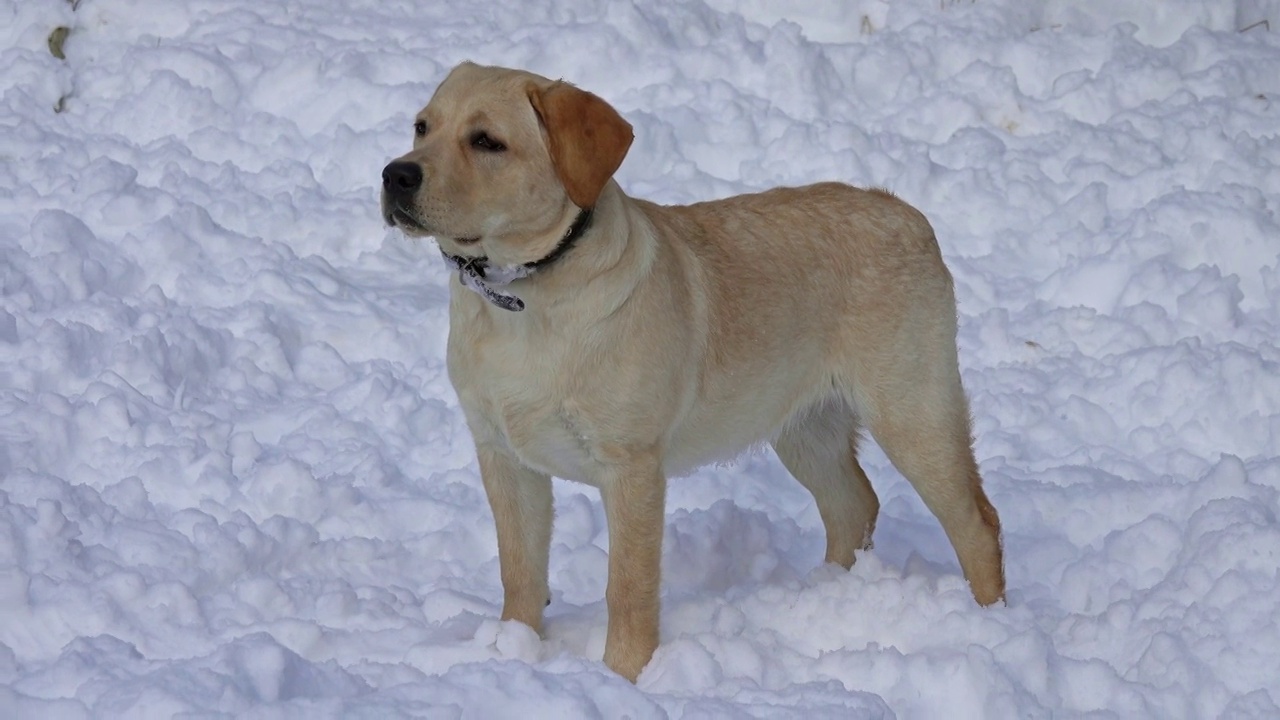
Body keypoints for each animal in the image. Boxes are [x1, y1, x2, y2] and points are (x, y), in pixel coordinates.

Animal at [378, 61, 1008, 676]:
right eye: (422, 127)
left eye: (487, 141)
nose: (394, 174)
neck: (522, 296)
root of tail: (904, 211)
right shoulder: (503, 456)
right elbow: (520, 573)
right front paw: (514, 651)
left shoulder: (631, 467)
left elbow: (628, 590)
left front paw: (624, 676)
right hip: (805, 427)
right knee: (855, 505)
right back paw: (830, 595)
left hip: (913, 411)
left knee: (978, 522)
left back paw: (988, 622)